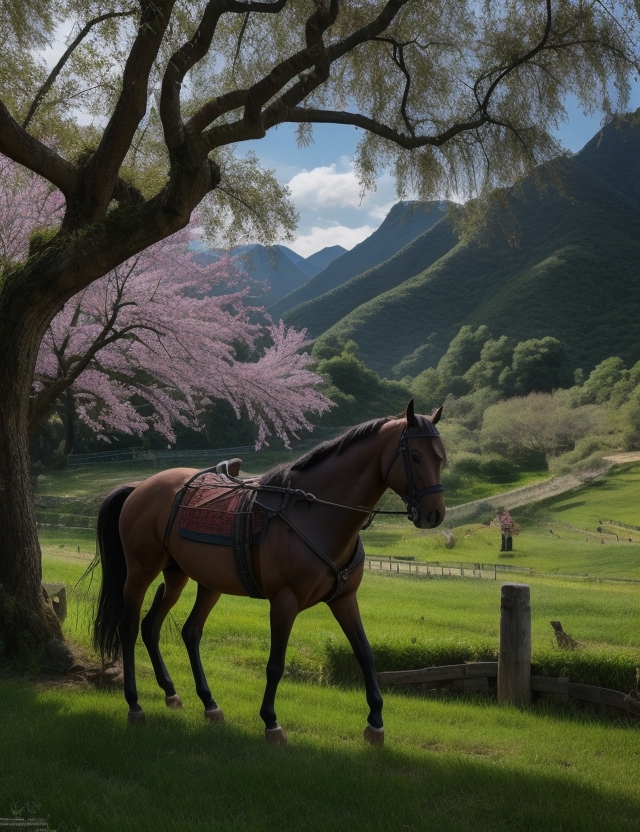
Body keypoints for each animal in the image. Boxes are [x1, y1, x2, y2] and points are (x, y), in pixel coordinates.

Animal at [92, 400, 444, 744]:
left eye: (440, 457)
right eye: (415, 456)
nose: (434, 514)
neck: (314, 513)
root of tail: (141, 487)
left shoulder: (344, 598)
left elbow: (365, 654)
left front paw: (375, 723)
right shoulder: (284, 602)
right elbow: (275, 664)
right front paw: (271, 721)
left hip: (190, 579)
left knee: (172, 629)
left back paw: (195, 699)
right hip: (141, 571)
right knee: (129, 628)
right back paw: (135, 704)